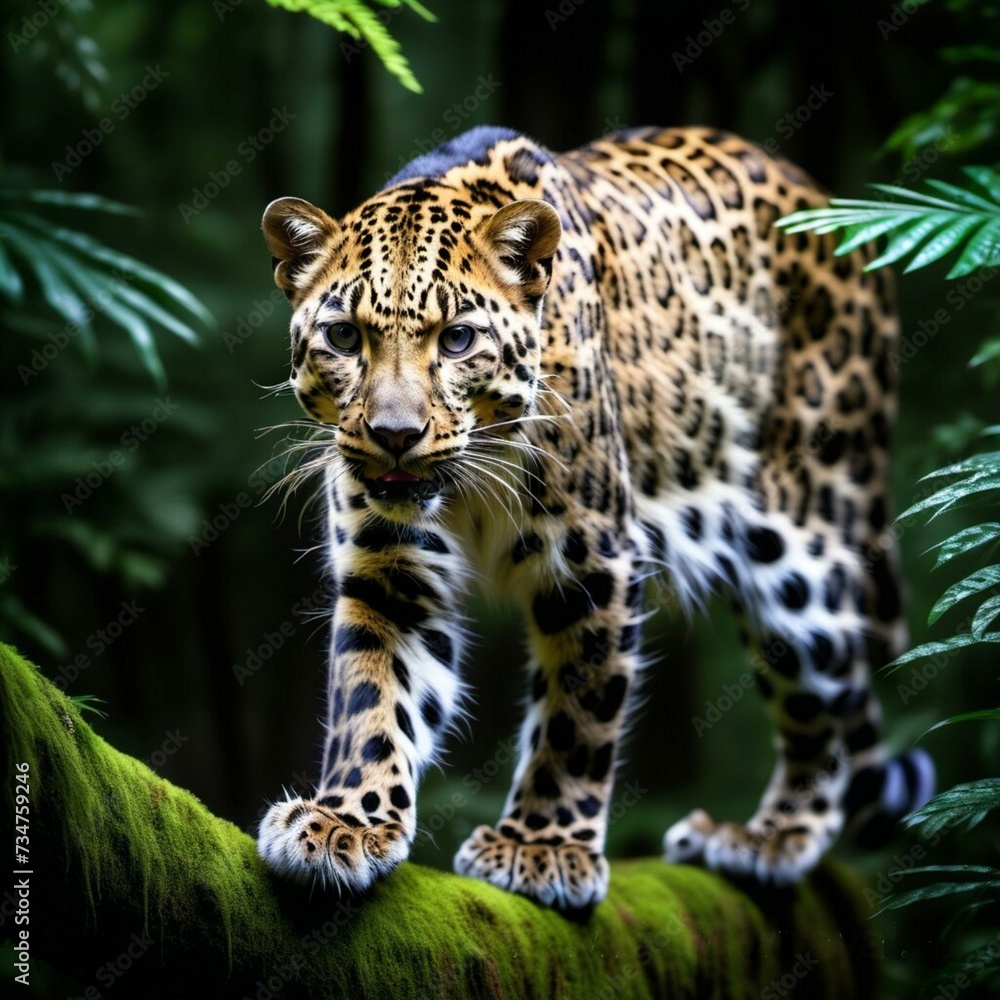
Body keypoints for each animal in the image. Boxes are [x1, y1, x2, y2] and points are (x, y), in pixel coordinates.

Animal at [255, 124, 934, 910]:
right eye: (343, 338)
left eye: (457, 340)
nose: (395, 435)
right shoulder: (389, 570)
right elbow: (372, 696)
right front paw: (346, 822)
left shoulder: (591, 558)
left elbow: (577, 712)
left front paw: (541, 846)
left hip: (804, 546)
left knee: (824, 702)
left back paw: (766, 838)